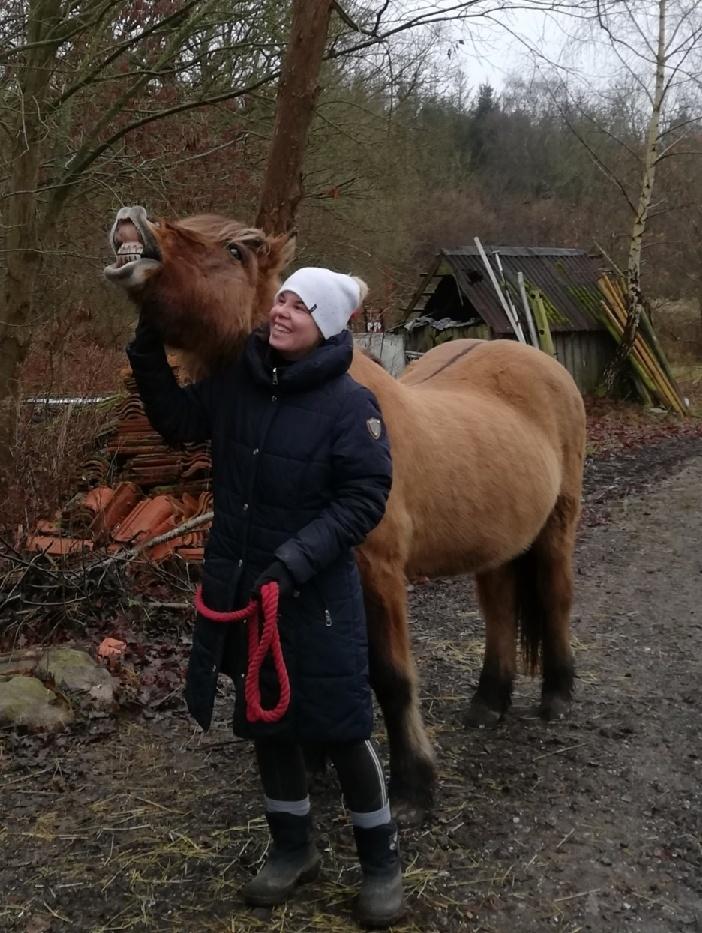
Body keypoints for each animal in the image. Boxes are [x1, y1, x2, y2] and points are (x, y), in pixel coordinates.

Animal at [106, 206, 588, 824]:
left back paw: (557, 695)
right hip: (498, 543)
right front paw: (315, 764)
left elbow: (391, 677)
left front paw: (413, 785)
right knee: (501, 608)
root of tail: (544, 366)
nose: (131, 221)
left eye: (236, 250)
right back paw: (488, 703)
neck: (297, 391)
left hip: (556, 528)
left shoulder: (376, 572)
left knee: (554, 596)